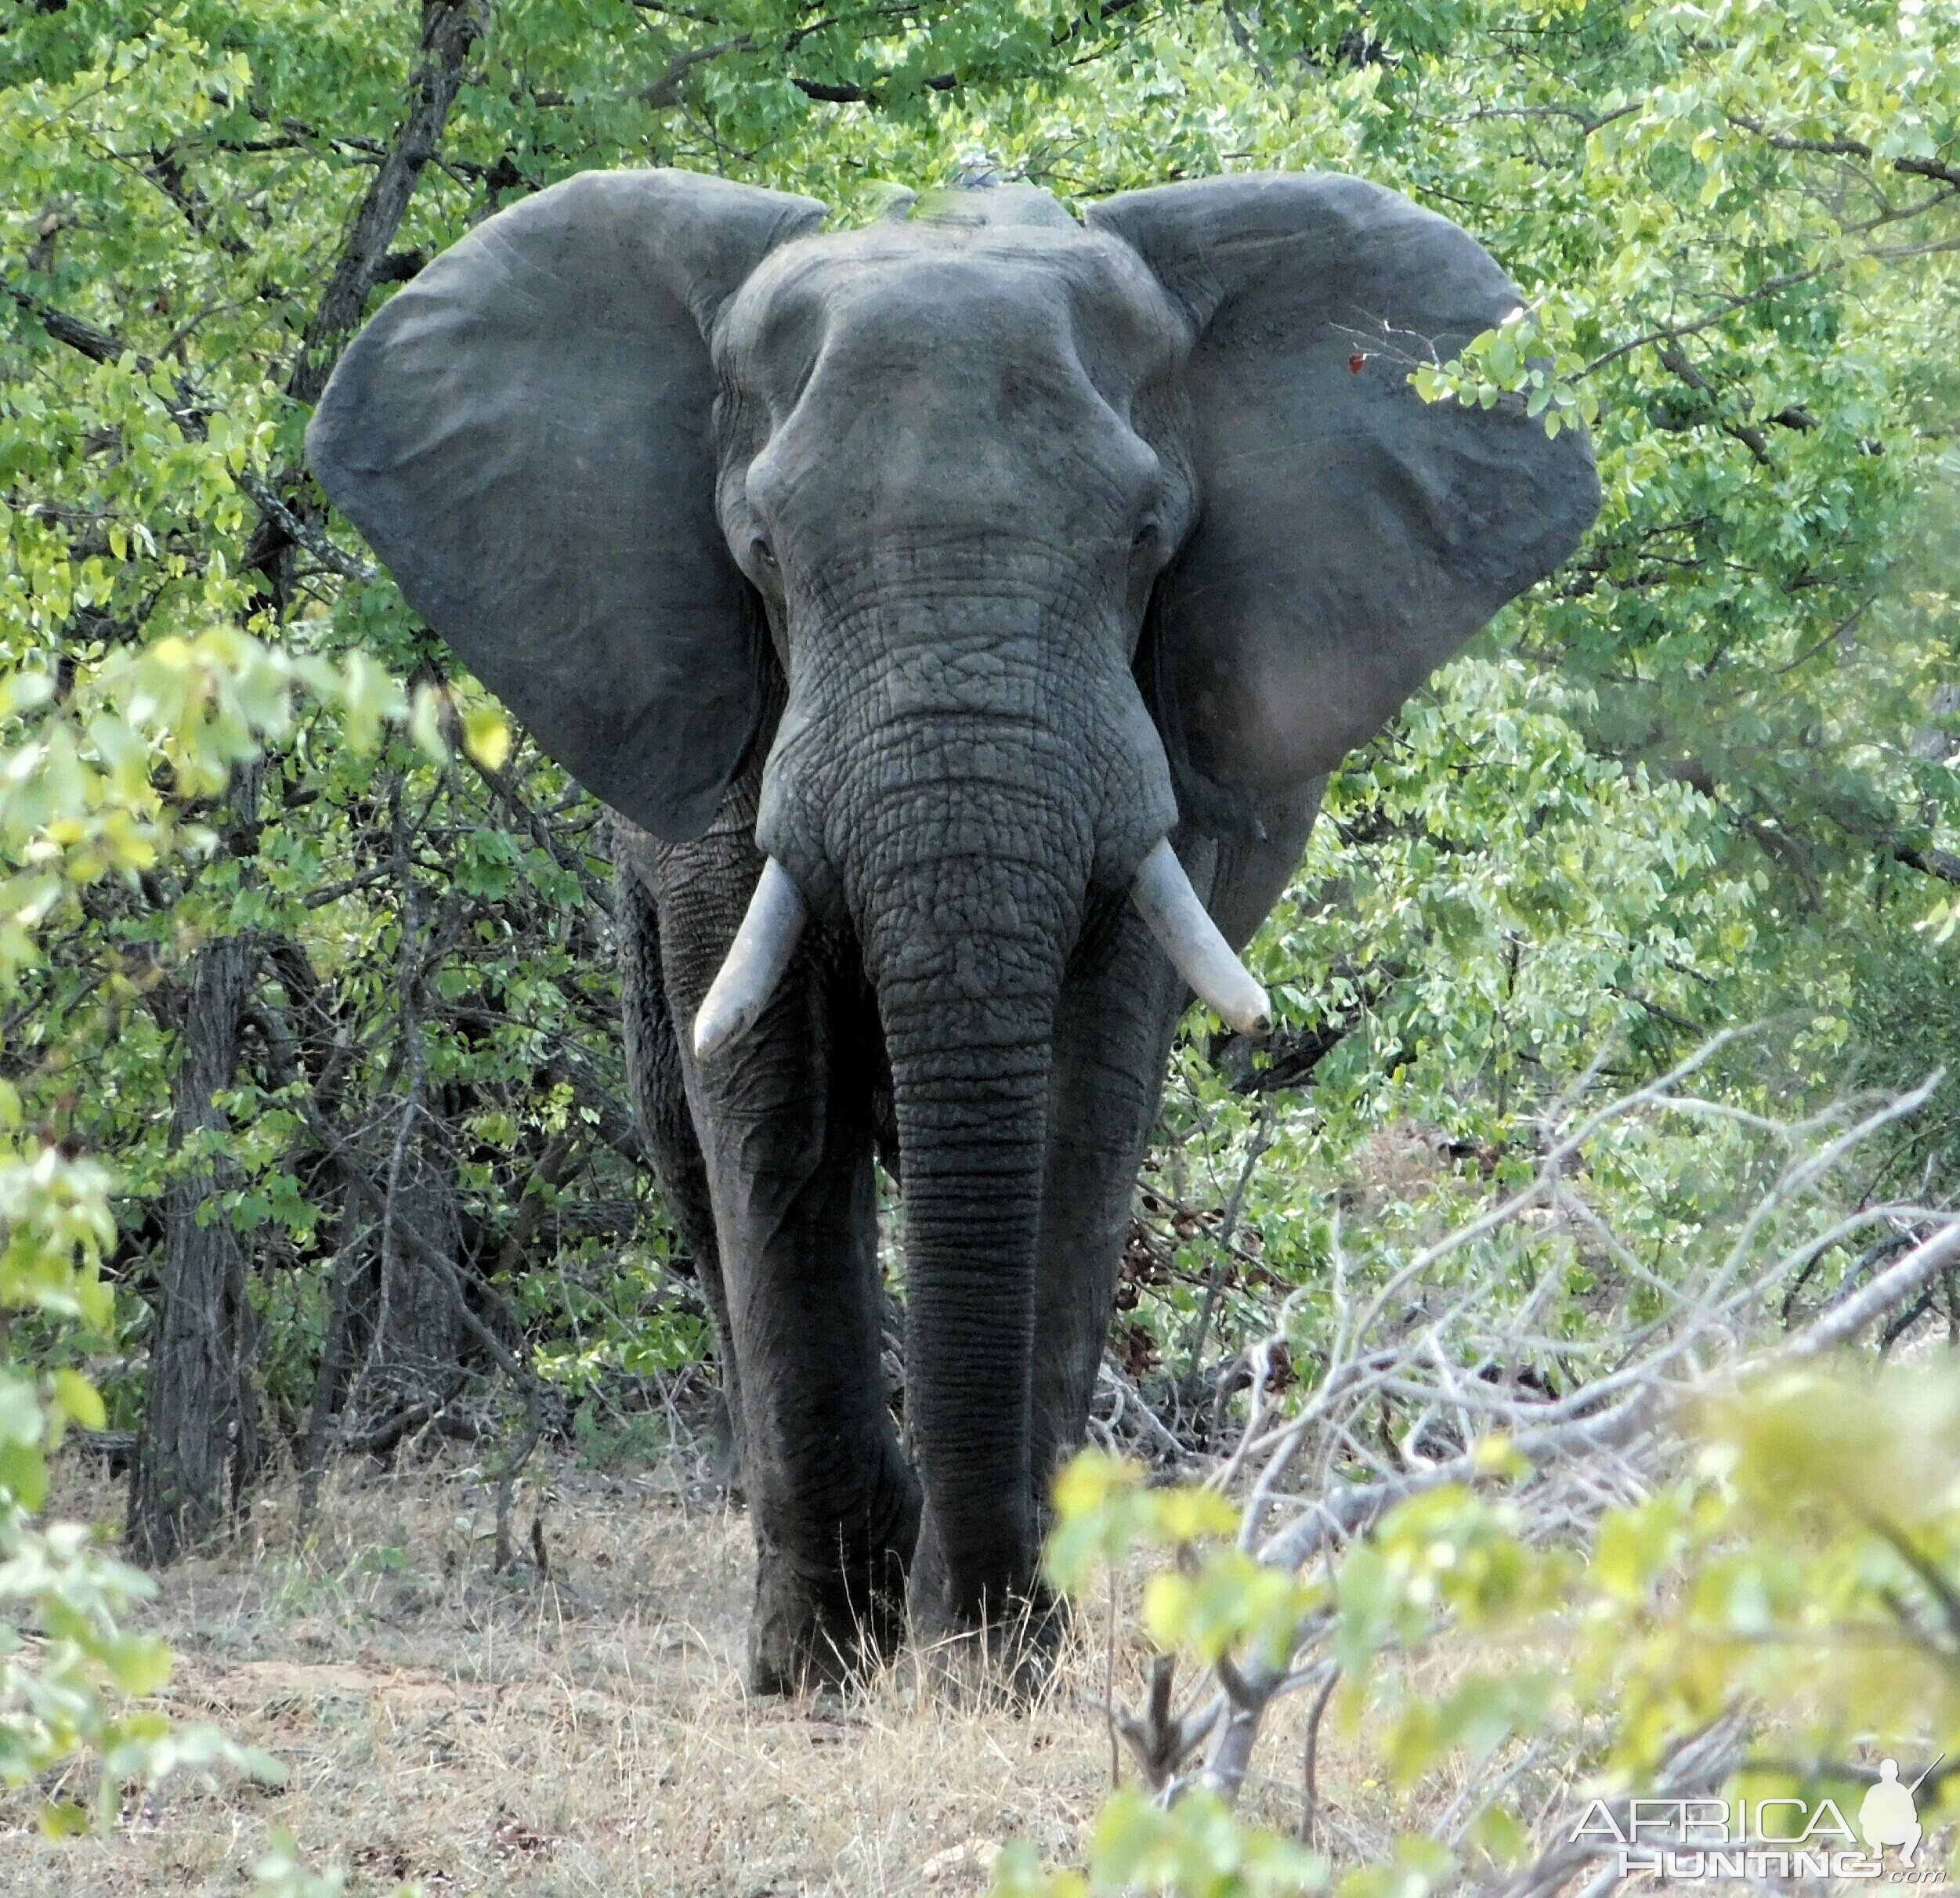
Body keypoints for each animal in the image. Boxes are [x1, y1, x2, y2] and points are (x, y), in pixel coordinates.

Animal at [302, 162, 1591, 1694]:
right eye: (761, 548)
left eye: (1148, 538)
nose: (972, 1625)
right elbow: (771, 1101)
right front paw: (821, 1669)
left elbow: (1079, 1108)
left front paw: (990, 1663)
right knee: (689, 1150)